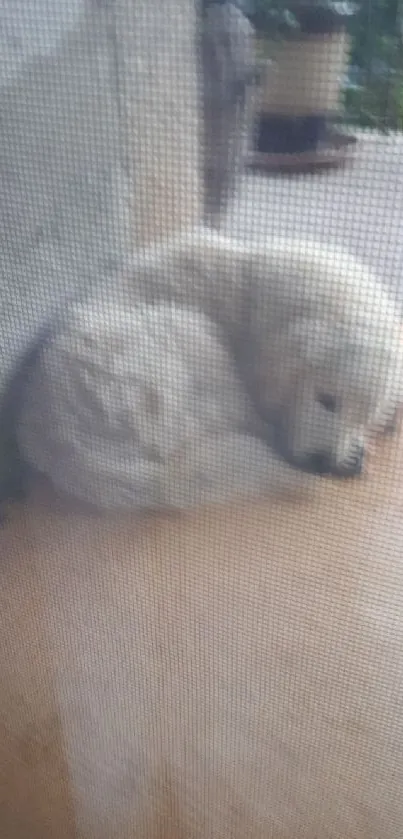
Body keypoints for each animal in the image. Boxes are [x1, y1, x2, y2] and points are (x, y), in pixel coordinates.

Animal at [16, 226, 403, 508]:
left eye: (362, 418)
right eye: (326, 399)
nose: (323, 463)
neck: (250, 298)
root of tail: (66, 448)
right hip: (189, 331)